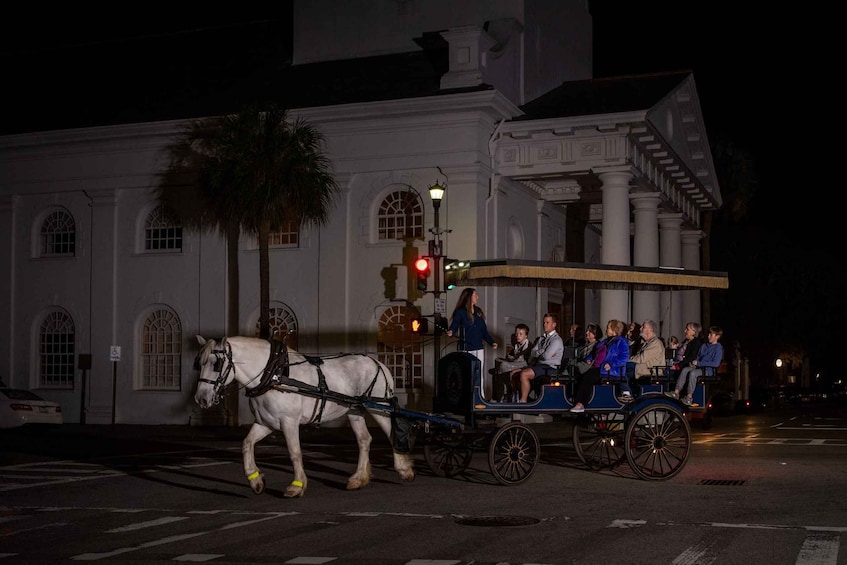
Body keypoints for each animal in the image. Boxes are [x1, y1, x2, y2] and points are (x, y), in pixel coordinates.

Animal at [193, 338, 418, 496]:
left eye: (216, 364)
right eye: (198, 364)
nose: (201, 399)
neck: (274, 375)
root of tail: (378, 362)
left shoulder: (289, 421)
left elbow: (295, 452)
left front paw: (297, 485)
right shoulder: (266, 423)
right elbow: (247, 444)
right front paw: (255, 479)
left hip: (379, 407)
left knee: (391, 434)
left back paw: (403, 469)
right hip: (354, 410)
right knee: (364, 440)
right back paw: (358, 478)